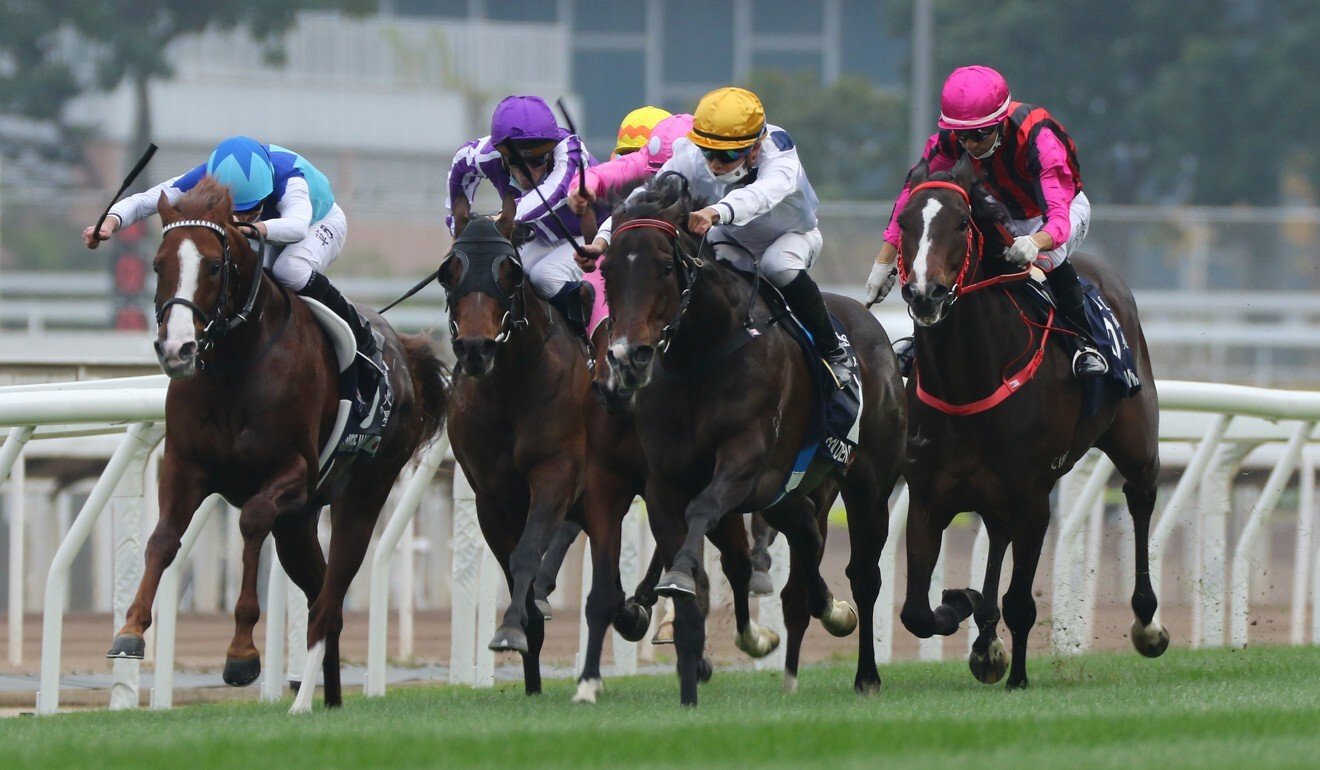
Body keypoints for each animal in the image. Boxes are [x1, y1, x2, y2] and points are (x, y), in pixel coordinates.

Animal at [108, 178, 448, 713]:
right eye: (159, 264)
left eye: (214, 265)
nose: (178, 349)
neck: (234, 365)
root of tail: (405, 353)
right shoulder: (185, 466)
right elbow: (162, 540)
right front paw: (131, 629)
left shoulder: (292, 473)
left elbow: (251, 522)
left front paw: (241, 653)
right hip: (300, 523)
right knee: (320, 595)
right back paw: (328, 698)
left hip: (362, 497)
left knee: (329, 601)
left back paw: (301, 701)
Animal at [601, 175, 902, 702]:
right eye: (606, 270)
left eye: (664, 267)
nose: (628, 358)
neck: (700, 356)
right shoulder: (668, 482)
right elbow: (717, 561)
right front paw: (706, 653)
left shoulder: (743, 463)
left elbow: (705, 520)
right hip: (788, 492)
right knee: (805, 539)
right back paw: (823, 612)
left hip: (868, 485)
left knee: (864, 575)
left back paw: (865, 671)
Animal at [897, 155, 1166, 686]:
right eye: (904, 223)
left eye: (962, 223)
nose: (925, 293)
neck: (969, 382)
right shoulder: (927, 496)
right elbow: (916, 612)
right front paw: (965, 606)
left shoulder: (1034, 497)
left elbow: (1020, 601)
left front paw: (1017, 677)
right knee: (997, 535)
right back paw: (984, 639)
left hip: (1136, 439)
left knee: (1140, 495)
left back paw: (1147, 623)